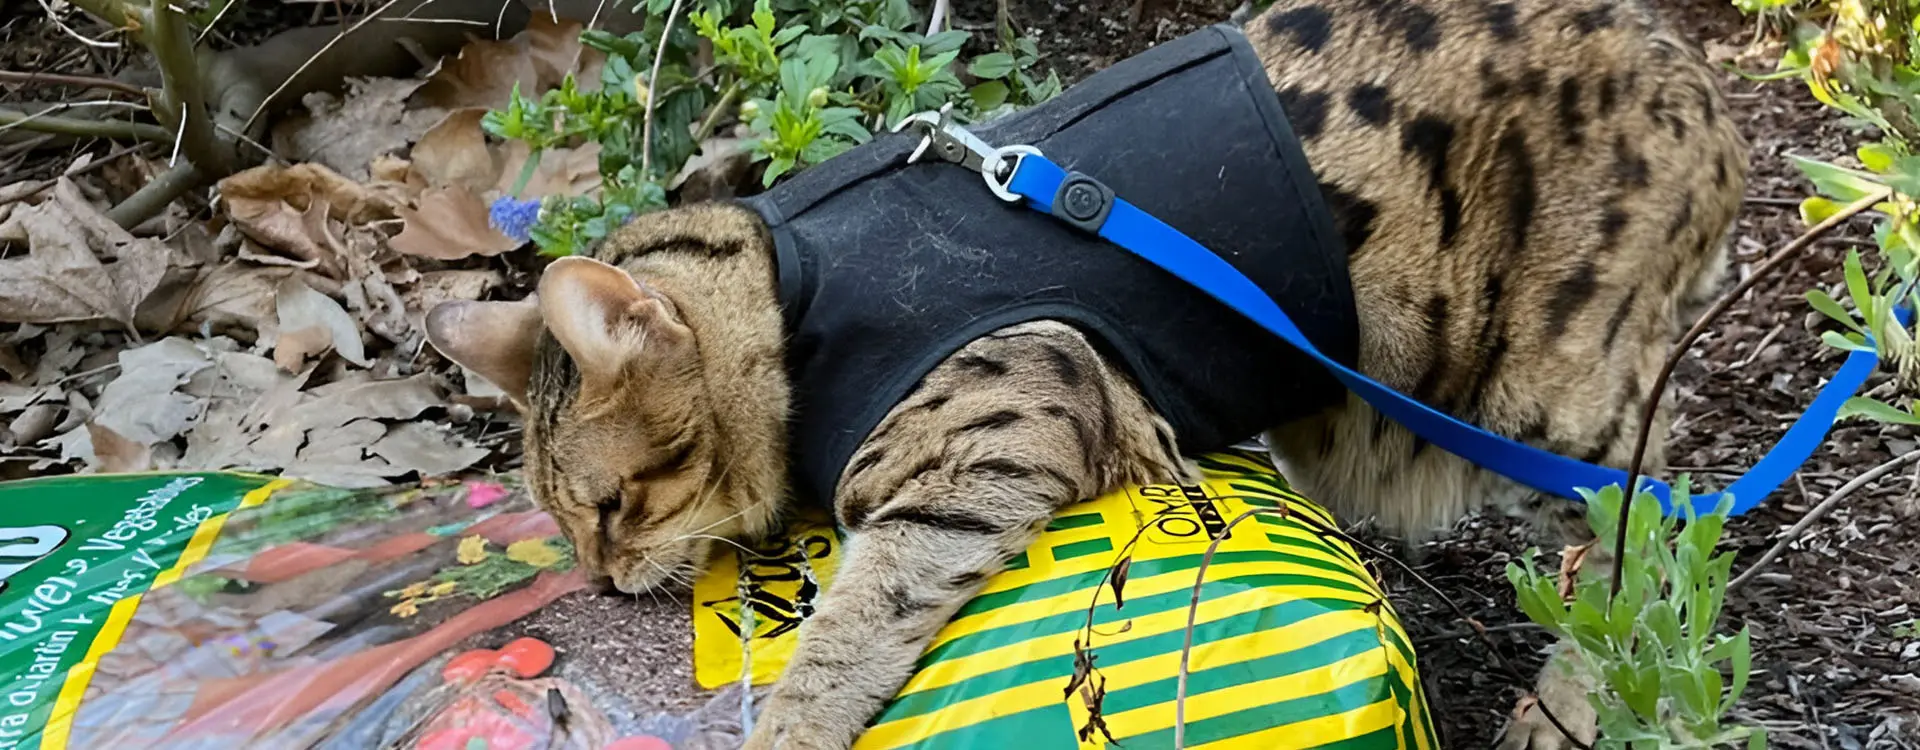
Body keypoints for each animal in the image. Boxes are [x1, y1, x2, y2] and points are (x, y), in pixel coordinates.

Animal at [428, 1, 1751, 750]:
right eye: (567, 525)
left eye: (614, 505)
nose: (599, 582)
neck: (788, 289)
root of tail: (1702, 85)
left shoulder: (1011, 420)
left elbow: (859, 616)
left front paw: (790, 727)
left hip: (1546, 403)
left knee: (1667, 540)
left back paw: (1577, 703)